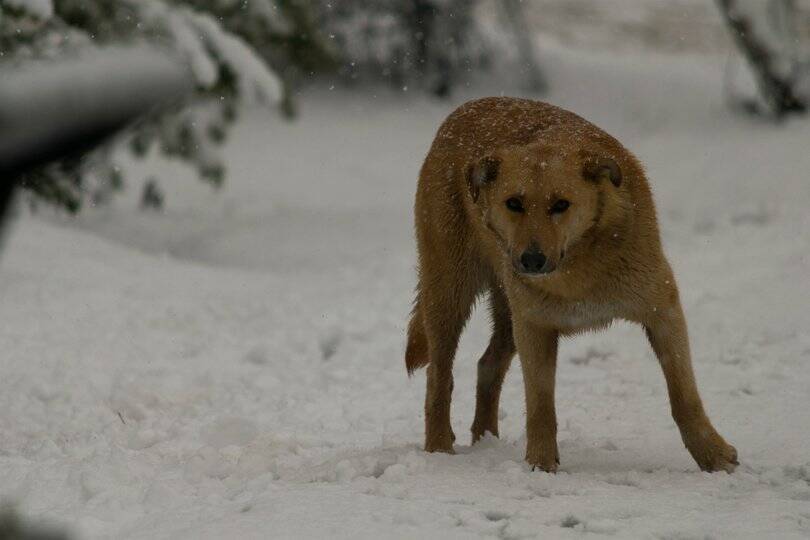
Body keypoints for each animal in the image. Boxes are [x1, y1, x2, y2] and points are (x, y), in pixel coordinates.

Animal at [408, 97, 736, 472]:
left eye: (560, 205)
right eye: (514, 203)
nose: (531, 261)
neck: (579, 267)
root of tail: (461, 110)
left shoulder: (662, 309)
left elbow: (684, 396)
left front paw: (713, 455)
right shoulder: (535, 326)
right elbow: (540, 406)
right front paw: (541, 466)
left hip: (506, 314)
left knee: (487, 365)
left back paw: (486, 441)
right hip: (450, 293)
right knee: (439, 375)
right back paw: (439, 449)